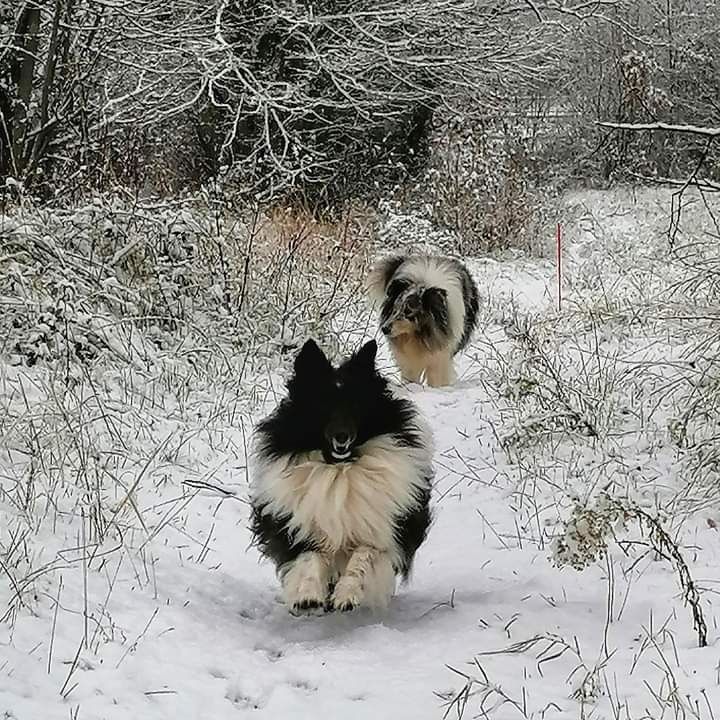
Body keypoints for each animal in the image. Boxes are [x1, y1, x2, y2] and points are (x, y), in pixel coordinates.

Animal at [250, 338, 430, 612]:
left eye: (355, 405)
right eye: (322, 406)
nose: (342, 436)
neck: (338, 468)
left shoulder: (382, 534)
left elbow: (362, 558)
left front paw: (347, 595)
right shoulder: (299, 528)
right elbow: (310, 558)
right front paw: (307, 596)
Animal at [368, 255, 480, 388]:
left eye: (408, 311)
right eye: (395, 308)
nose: (384, 329)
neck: (420, 334)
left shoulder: (440, 355)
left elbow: (436, 377)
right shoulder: (408, 359)